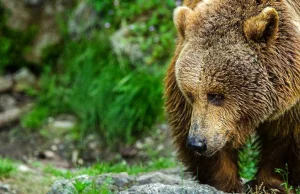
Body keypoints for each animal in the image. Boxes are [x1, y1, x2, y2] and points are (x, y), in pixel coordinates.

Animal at [165, 0, 300, 192]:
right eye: (190, 94)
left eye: (216, 95)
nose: (197, 143)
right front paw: (226, 183)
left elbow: (286, 137)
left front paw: (271, 183)